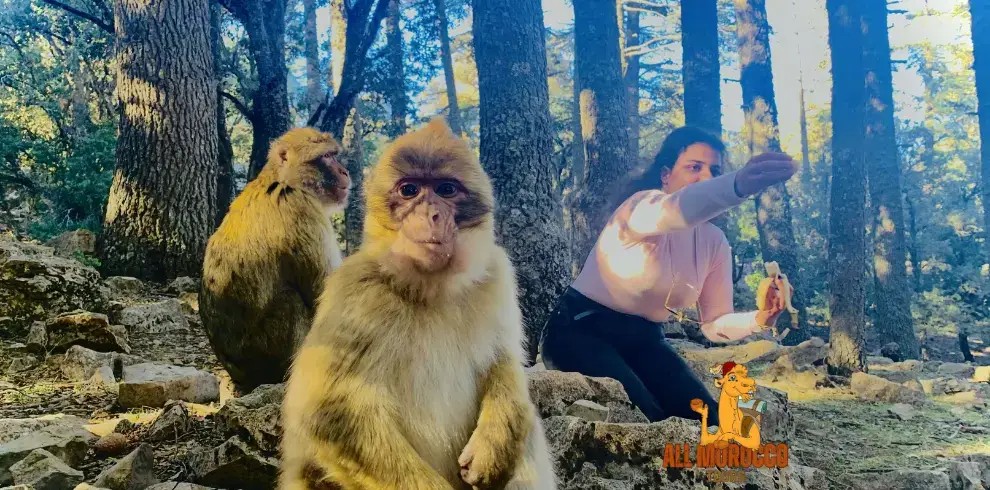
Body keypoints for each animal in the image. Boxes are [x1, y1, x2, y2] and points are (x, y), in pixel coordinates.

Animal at [199, 127, 350, 393]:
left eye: (334, 154)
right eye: (326, 157)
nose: (345, 171)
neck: (284, 180)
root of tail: (239, 376)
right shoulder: (302, 209)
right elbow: (322, 295)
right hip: (264, 353)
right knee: (291, 302)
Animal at [278, 118, 558, 490]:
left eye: (446, 189)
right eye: (409, 191)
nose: (430, 213)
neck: (431, 289)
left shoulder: (497, 273)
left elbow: (503, 361)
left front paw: (495, 446)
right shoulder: (354, 288)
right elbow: (329, 409)